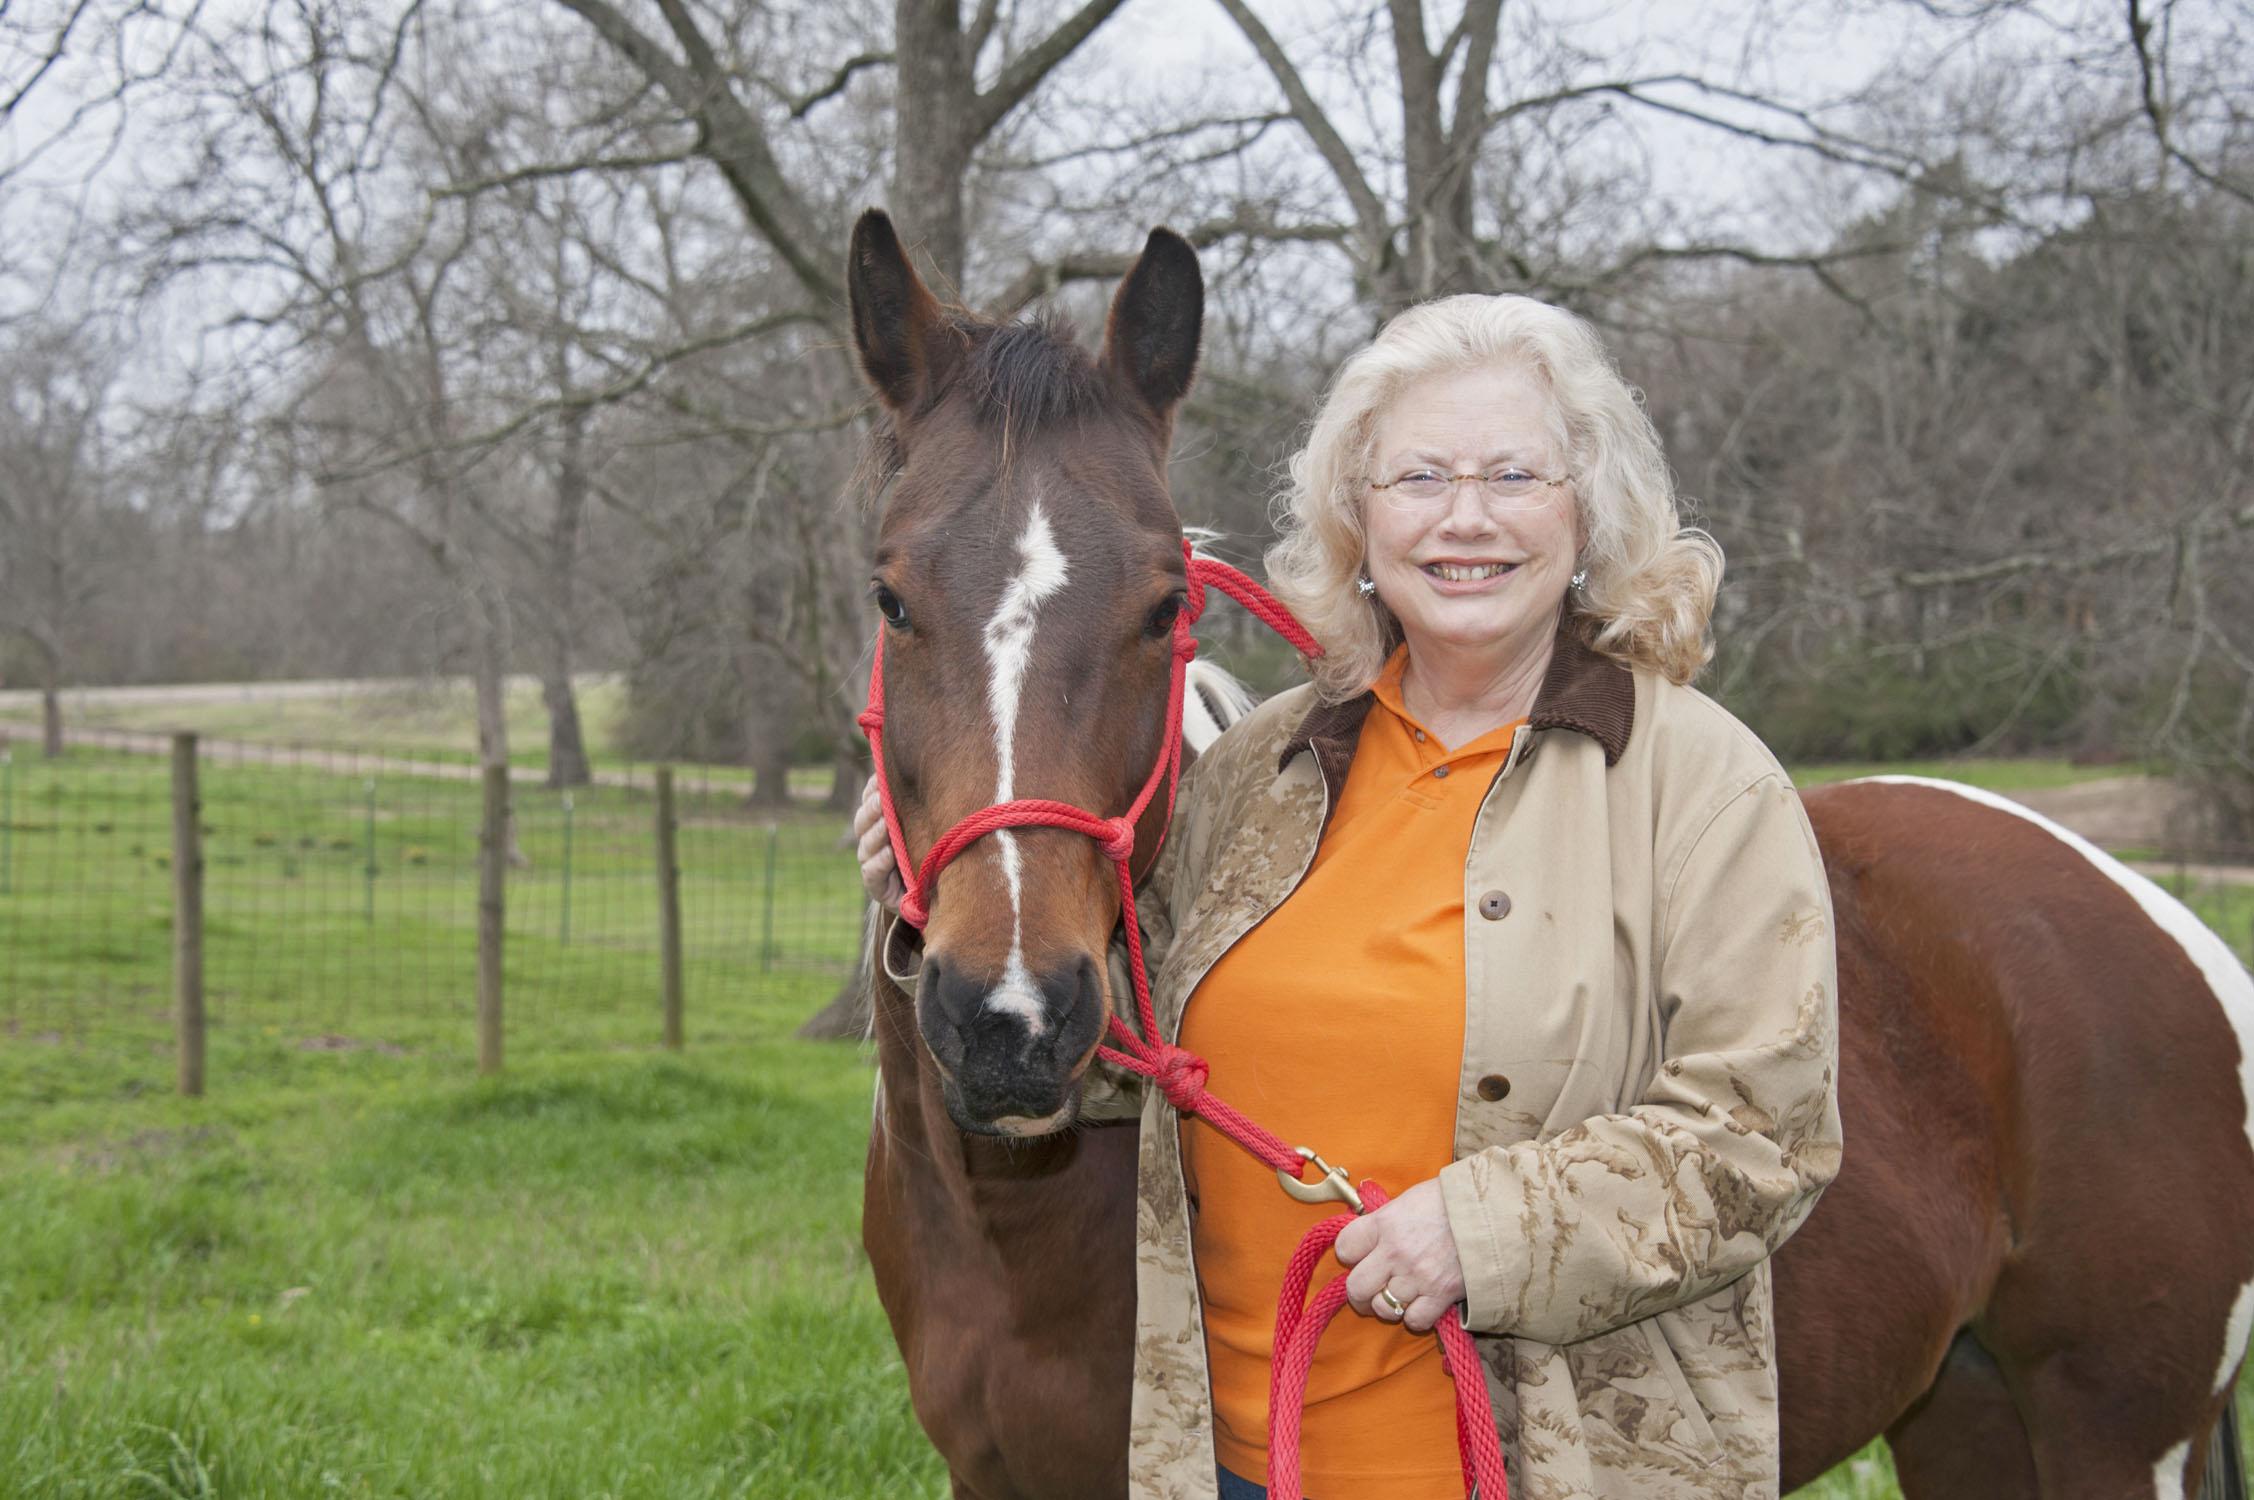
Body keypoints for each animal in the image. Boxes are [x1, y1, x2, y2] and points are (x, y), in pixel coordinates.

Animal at [847, 210, 2254, 1497]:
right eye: (891, 597)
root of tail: (2159, 921)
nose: (1015, 1019)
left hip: (2108, 1436)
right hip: (1963, 1415)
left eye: (1162, 606)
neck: (1014, 1226)